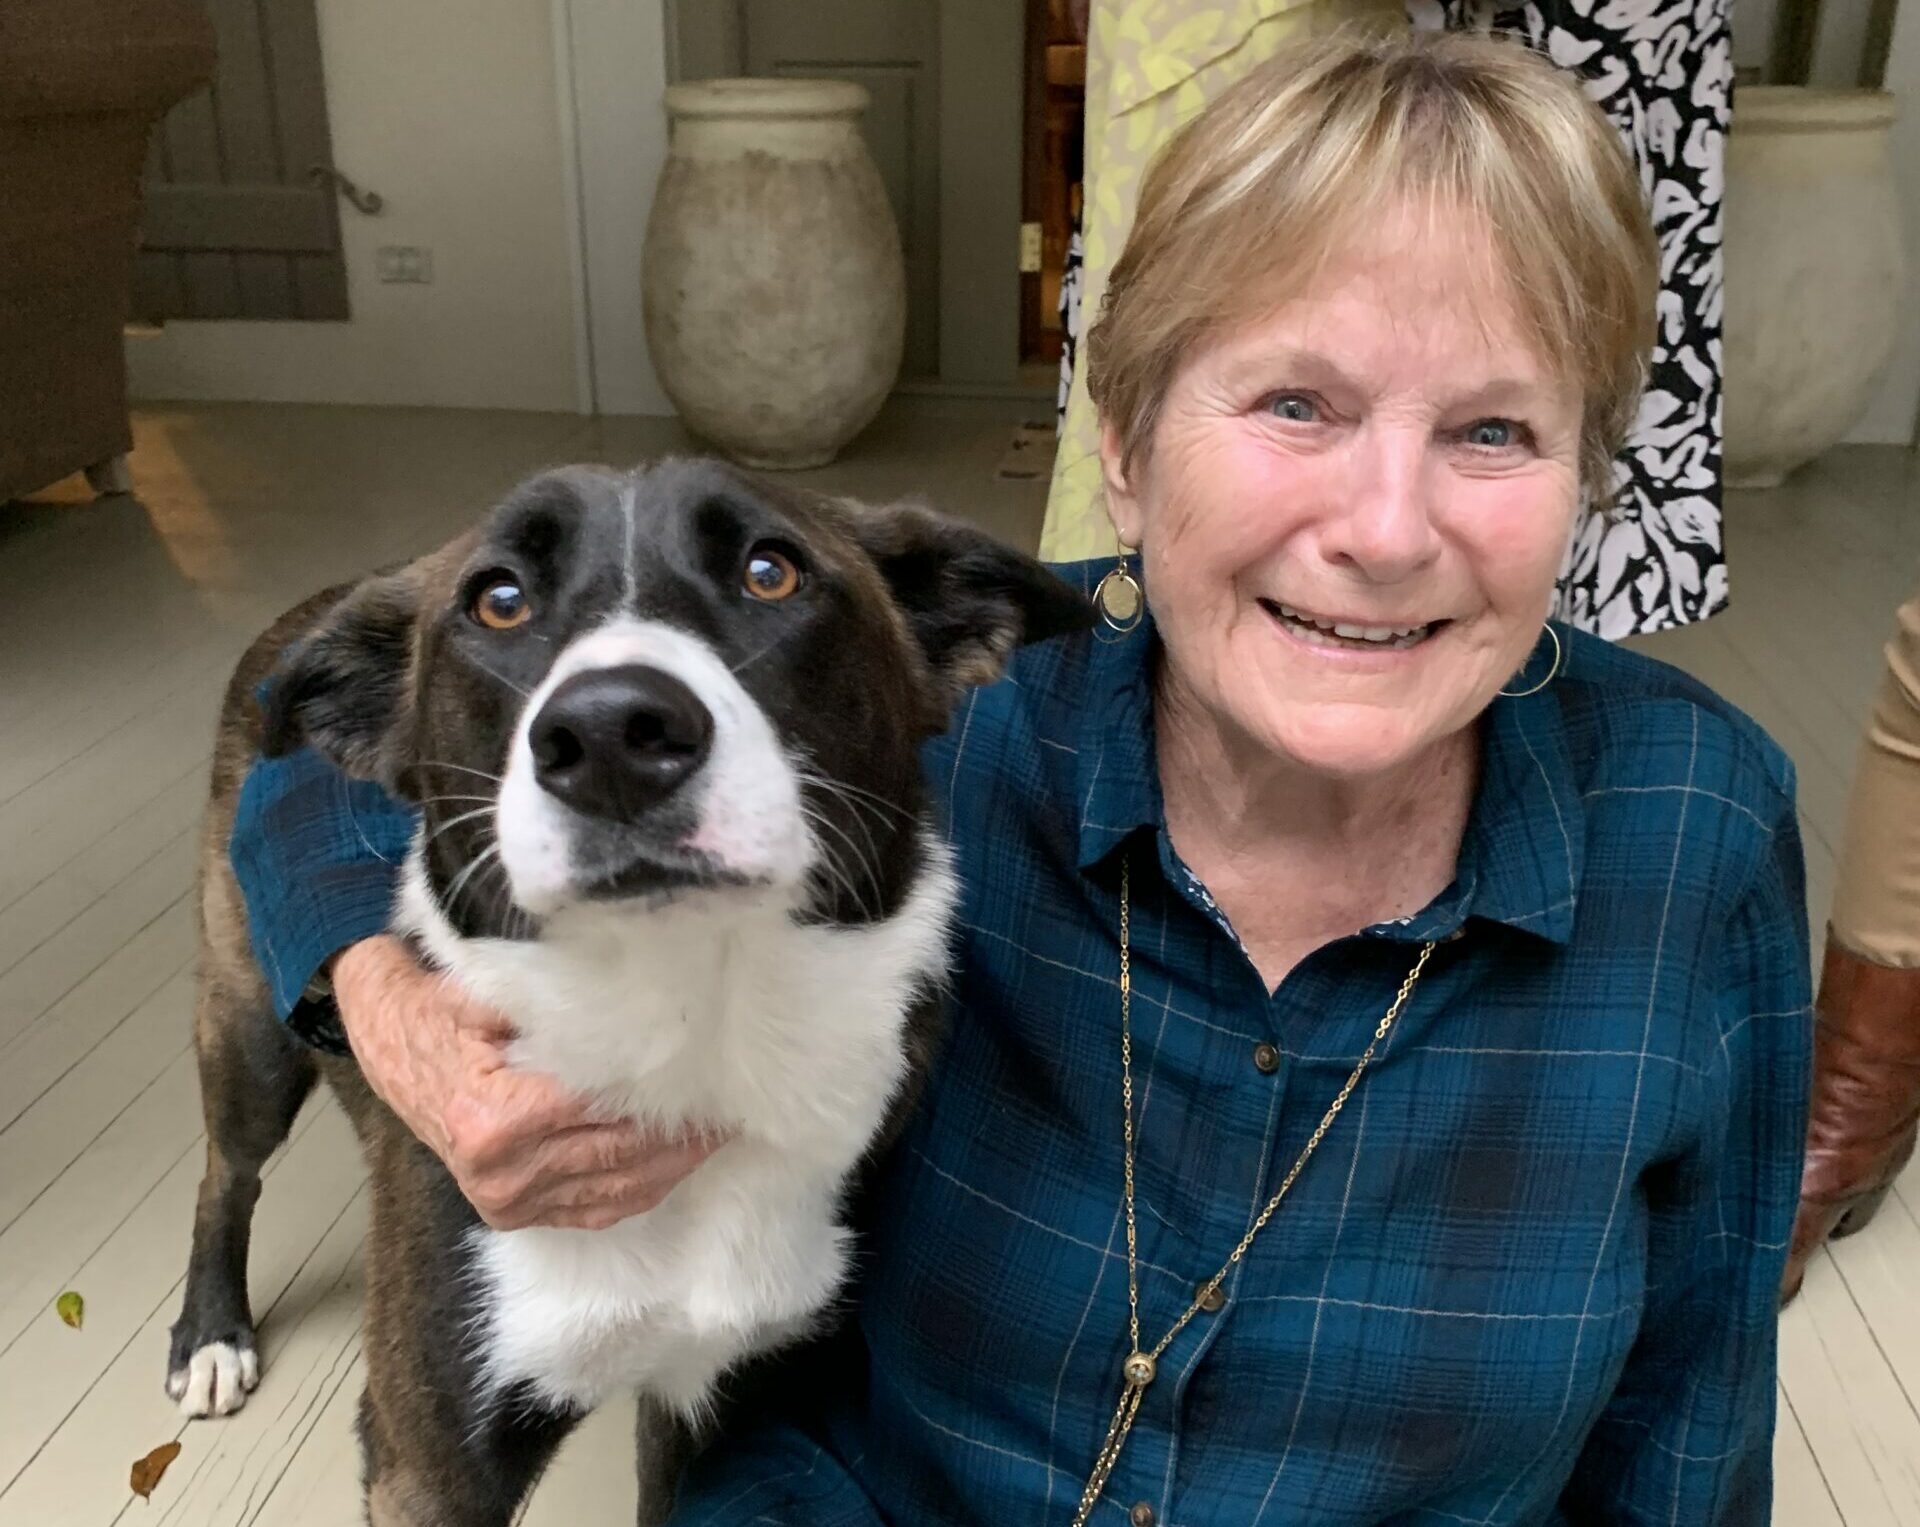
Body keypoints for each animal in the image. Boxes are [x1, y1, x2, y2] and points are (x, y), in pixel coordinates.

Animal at [168, 462, 1098, 1527]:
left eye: (771, 571)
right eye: (498, 599)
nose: (611, 733)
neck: (689, 1023)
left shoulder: (710, 1401)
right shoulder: (430, 1464)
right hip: (247, 1025)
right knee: (227, 1172)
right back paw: (210, 1334)